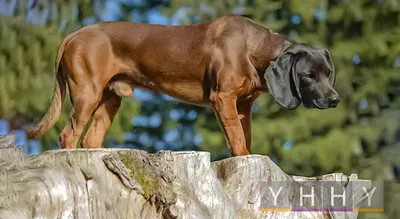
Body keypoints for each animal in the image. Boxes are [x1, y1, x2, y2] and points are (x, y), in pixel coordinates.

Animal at [28, 15, 340, 156]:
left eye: (328, 73)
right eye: (308, 75)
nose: (335, 100)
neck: (254, 48)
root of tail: (73, 34)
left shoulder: (243, 105)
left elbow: (244, 137)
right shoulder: (223, 98)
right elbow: (237, 139)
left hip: (110, 100)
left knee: (91, 139)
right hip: (87, 94)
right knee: (68, 135)